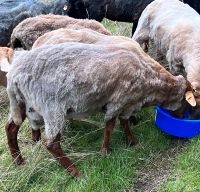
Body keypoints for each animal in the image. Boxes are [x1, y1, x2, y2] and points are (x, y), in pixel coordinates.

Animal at [5, 42, 196, 177]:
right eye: (186, 102)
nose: (184, 117)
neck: (149, 81)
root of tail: (14, 75)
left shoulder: (127, 104)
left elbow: (124, 123)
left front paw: (132, 141)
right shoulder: (118, 102)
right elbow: (110, 125)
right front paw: (105, 151)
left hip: (23, 103)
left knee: (11, 128)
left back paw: (18, 161)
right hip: (52, 107)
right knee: (51, 143)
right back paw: (76, 172)